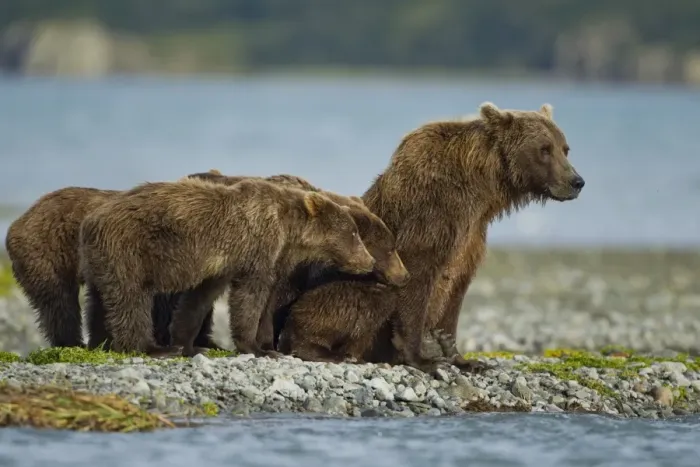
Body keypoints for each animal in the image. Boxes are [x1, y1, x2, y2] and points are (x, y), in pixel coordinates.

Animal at [77, 177, 377, 357]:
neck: (288, 231)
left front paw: (189, 344)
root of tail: (92, 219)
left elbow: (200, 300)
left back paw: (101, 341)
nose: (370, 261)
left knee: (99, 299)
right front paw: (253, 346)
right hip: (129, 248)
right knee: (131, 298)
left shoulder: (224, 265)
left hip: (101, 258)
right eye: (353, 233)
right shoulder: (255, 248)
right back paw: (149, 347)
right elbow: (249, 297)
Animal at [278, 102, 584, 373]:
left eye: (565, 148)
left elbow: (455, 289)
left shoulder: (472, 236)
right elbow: (416, 277)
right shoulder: (430, 217)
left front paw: (462, 356)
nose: (577, 181)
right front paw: (423, 358)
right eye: (544, 149)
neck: (480, 190)